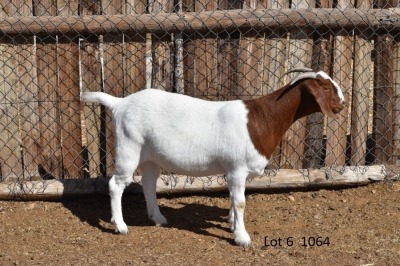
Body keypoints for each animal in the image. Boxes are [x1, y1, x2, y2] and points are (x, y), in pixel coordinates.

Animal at [80, 68, 344, 247]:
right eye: (326, 88)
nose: (342, 103)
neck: (262, 118)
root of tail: (120, 103)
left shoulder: (237, 172)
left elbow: (233, 199)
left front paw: (233, 224)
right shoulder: (237, 168)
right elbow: (240, 202)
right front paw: (242, 237)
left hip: (152, 156)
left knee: (148, 184)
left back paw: (159, 218)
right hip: (129, 148)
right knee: (116, 185)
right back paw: (120, 226)